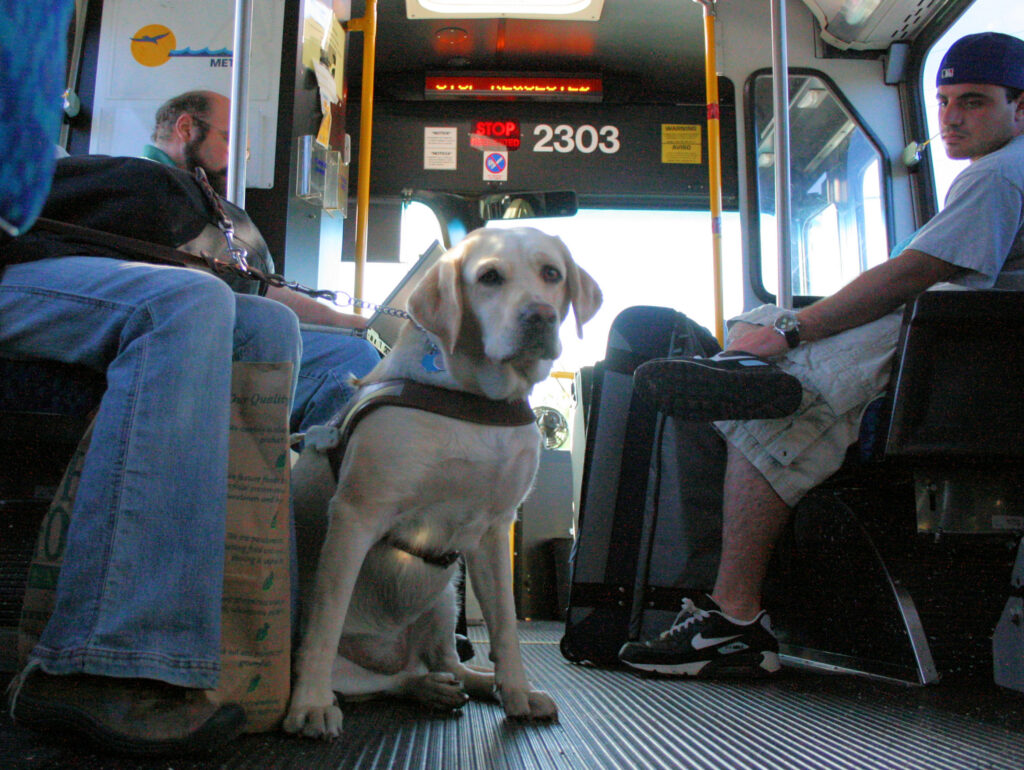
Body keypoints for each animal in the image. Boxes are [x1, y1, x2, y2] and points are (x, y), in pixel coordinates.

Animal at [282, 225, 598, 737]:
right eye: (489, 277)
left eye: (552, 273)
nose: (540, 316)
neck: (476, 398)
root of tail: (392, 652)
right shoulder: (356, 515)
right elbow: (325, 625)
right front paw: (308, 704)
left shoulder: (493, 532)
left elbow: (506, 627)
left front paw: (517, 692)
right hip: (378, 647)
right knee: (385, 682)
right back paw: (415, 688)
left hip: (444, 597)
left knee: (445, 662)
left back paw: (472, 682)